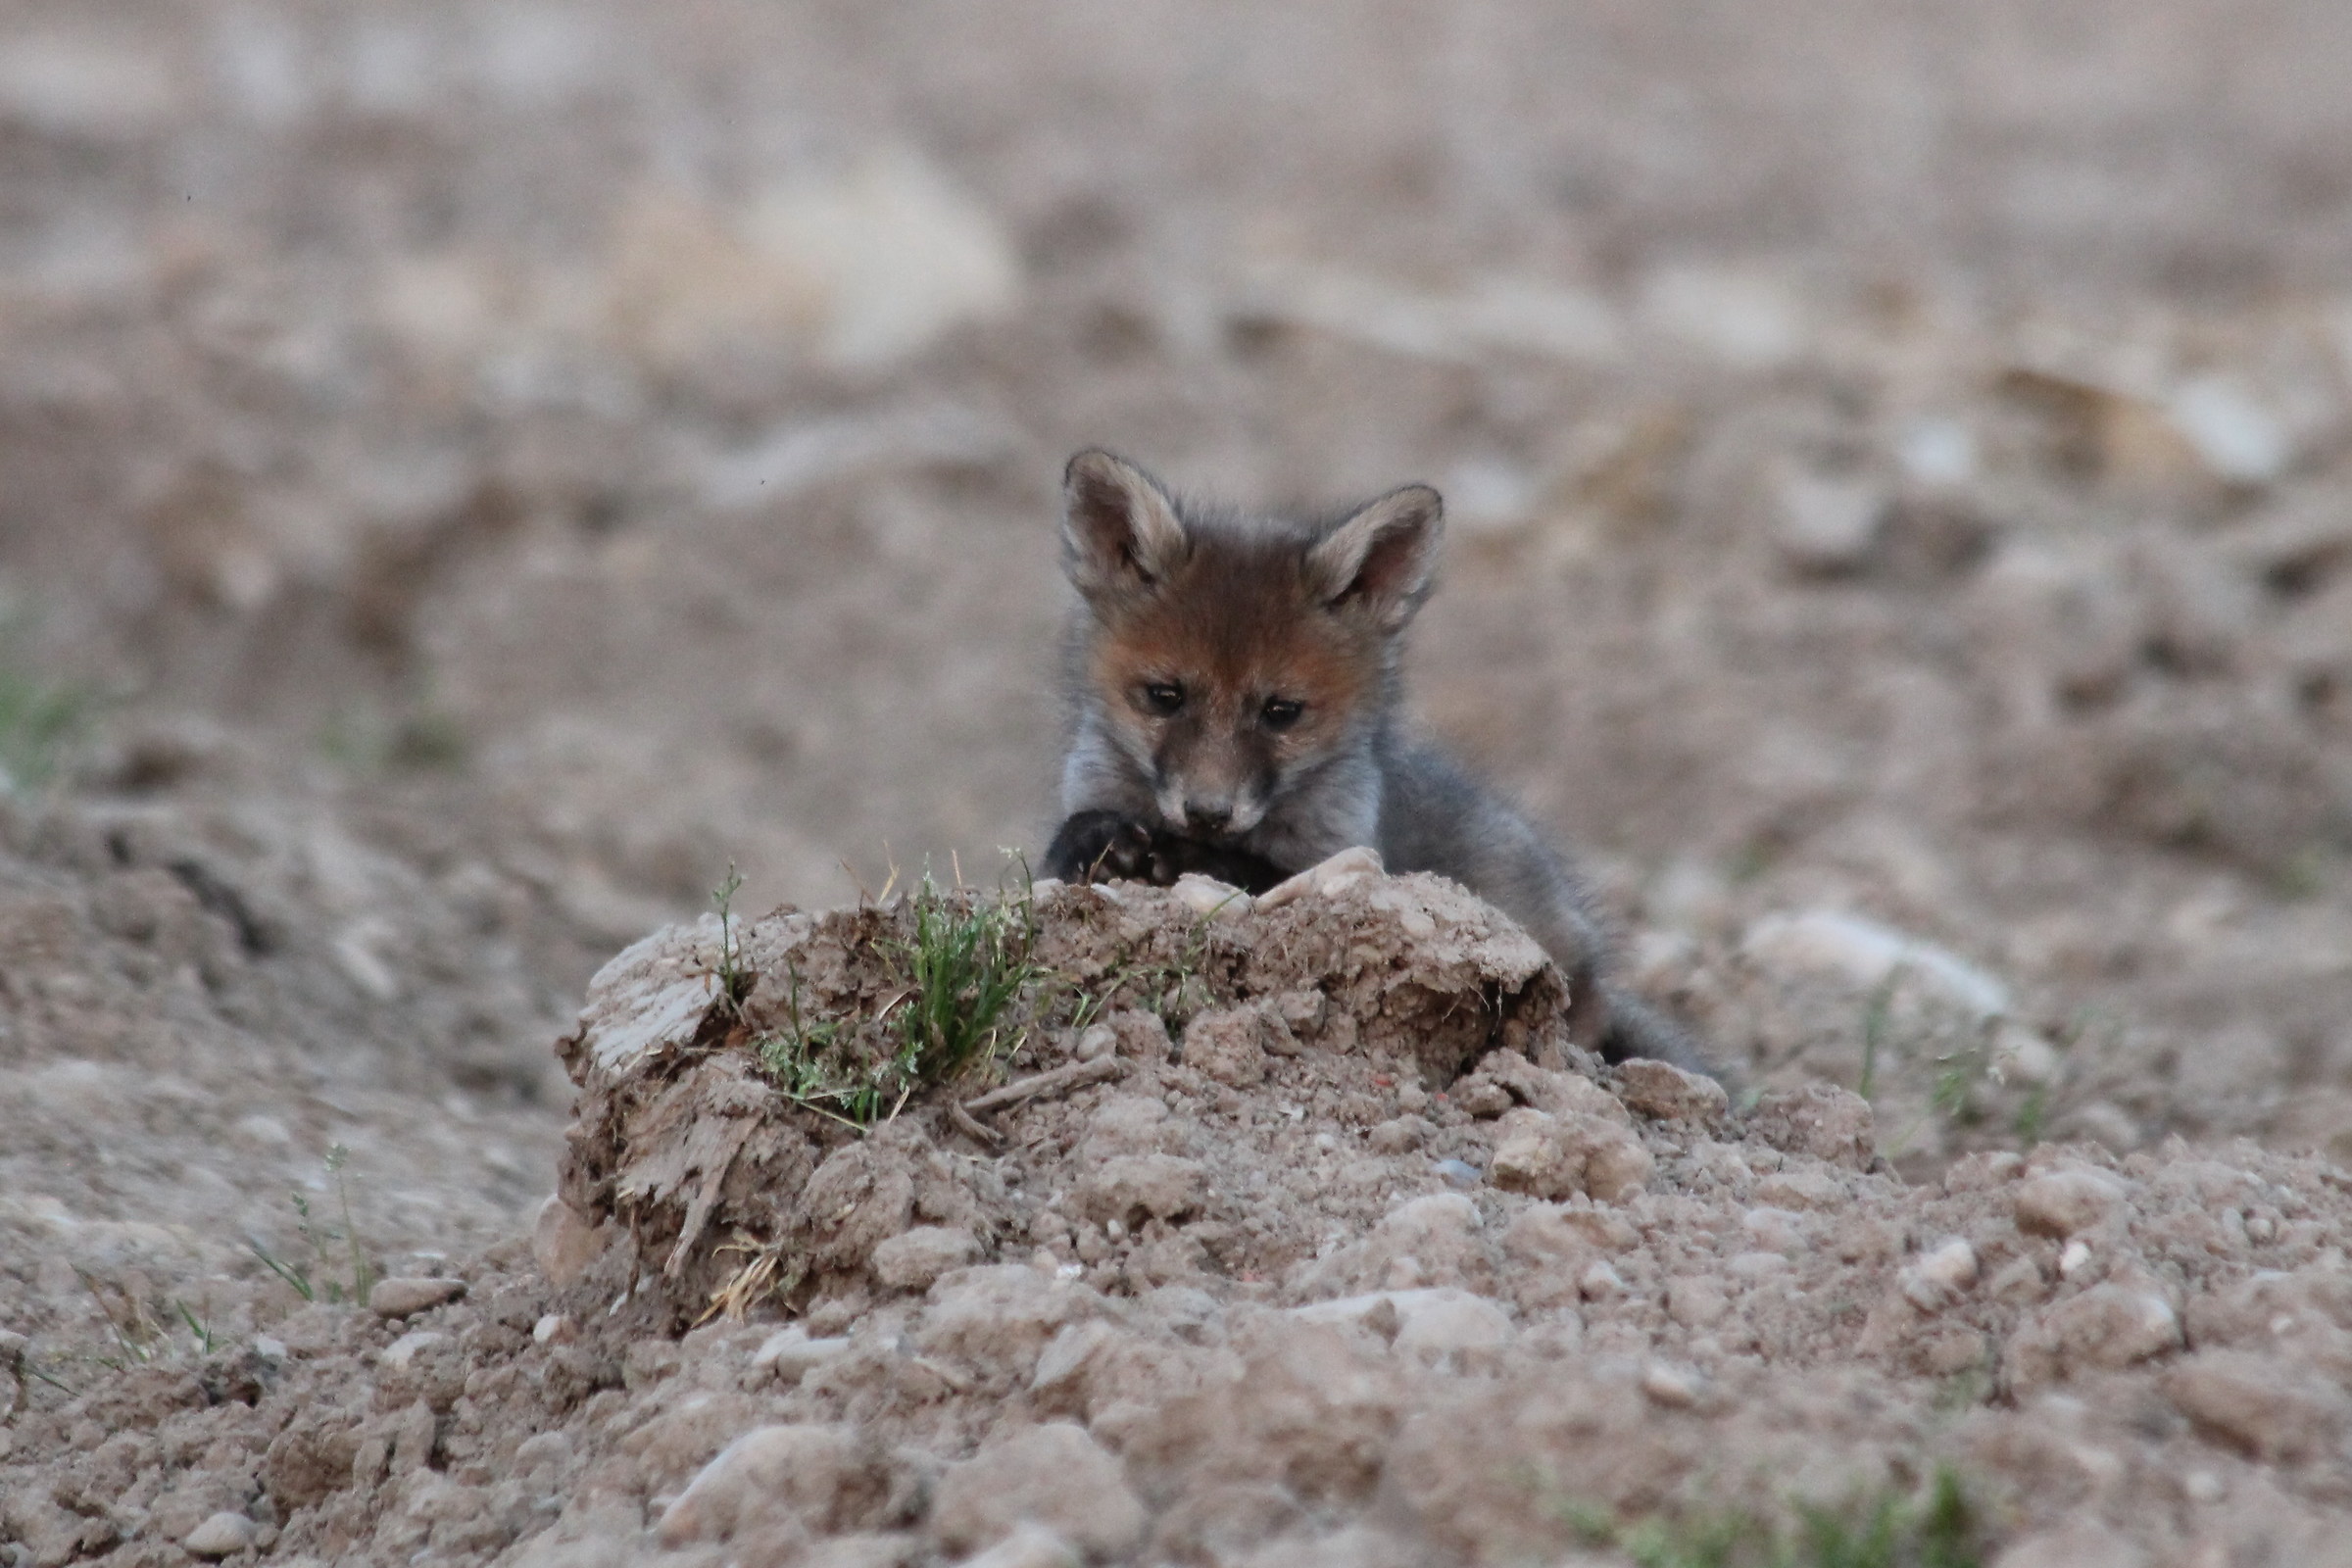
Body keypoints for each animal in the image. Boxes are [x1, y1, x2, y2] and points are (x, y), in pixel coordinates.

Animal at [1040, 448, 1707, 1072]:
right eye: (1165, 697)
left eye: (1281, 712)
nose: (1208, 813)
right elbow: (1065, 847)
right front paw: (1101, 841)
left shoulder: (1350, 860)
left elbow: (1263, 874)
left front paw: (1190, 859)